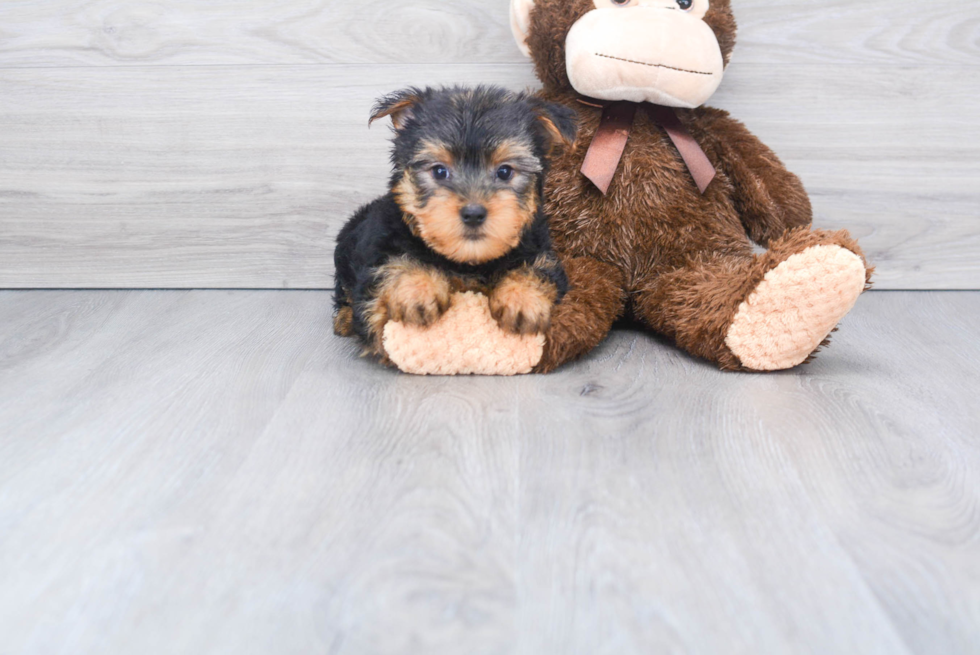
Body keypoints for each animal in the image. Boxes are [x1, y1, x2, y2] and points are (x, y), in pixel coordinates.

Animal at [334, 85, 580, 362]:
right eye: (440, 171)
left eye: (504, 172)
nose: (473, 213)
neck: (467, 260)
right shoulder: (381, 244)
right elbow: (390, 265)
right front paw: (417, 288)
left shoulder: (540, 248)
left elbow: (539, 268)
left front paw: (522, 299)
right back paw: (343, 318)